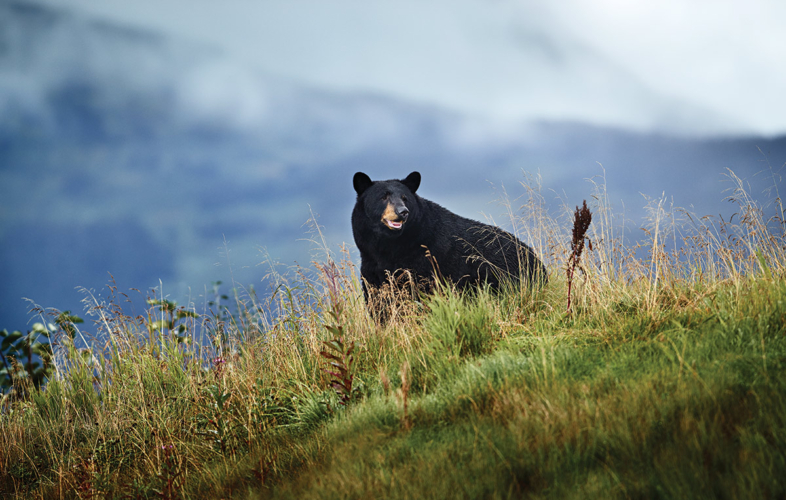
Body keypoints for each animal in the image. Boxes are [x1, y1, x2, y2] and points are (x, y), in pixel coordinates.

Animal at [354, 171, 544, 304]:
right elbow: (378, 301)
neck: (391, 247)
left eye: (404, 198)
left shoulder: (426, 263)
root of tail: (538, 261)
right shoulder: (371, 266)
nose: (403, 212)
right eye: (383, 197)